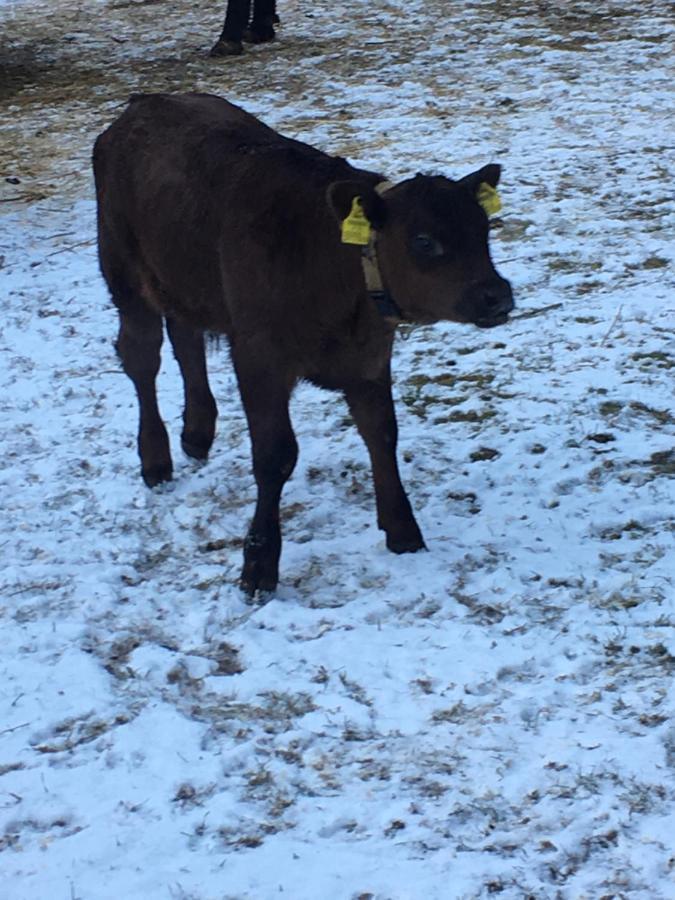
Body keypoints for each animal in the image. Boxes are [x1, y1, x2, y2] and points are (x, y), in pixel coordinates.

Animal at [93, 93, 512, 596]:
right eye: (425, 241)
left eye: (484, 231)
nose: (497, 295)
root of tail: (146, 102)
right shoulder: (258, 355)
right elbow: (275, 456)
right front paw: (258, 563)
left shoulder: (370, 355)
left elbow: (382, 433)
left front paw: (403, 530)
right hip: (122, 270)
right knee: (142, 355)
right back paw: (155, 459)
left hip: (184, 278)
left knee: (185, 338)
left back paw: (196, 433)